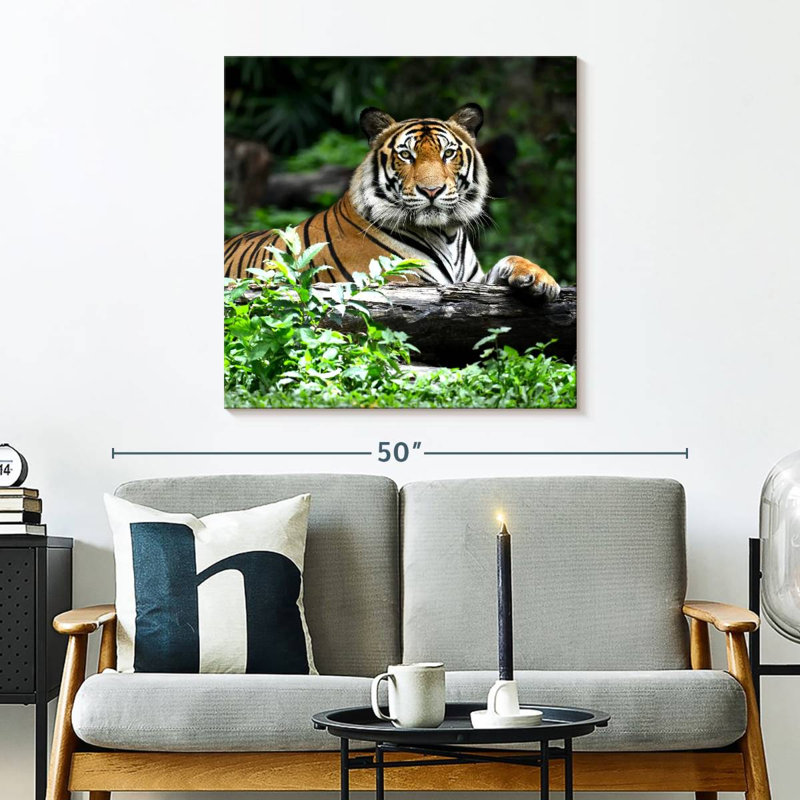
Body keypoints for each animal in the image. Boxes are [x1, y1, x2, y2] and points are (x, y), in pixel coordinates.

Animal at [224, 103, 560, 300]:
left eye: (448, 153)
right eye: (406, 155)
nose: (431, 190)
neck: (447, 234)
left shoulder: (470, 281)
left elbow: (510, 259)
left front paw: (540, 279)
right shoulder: (402, 281)